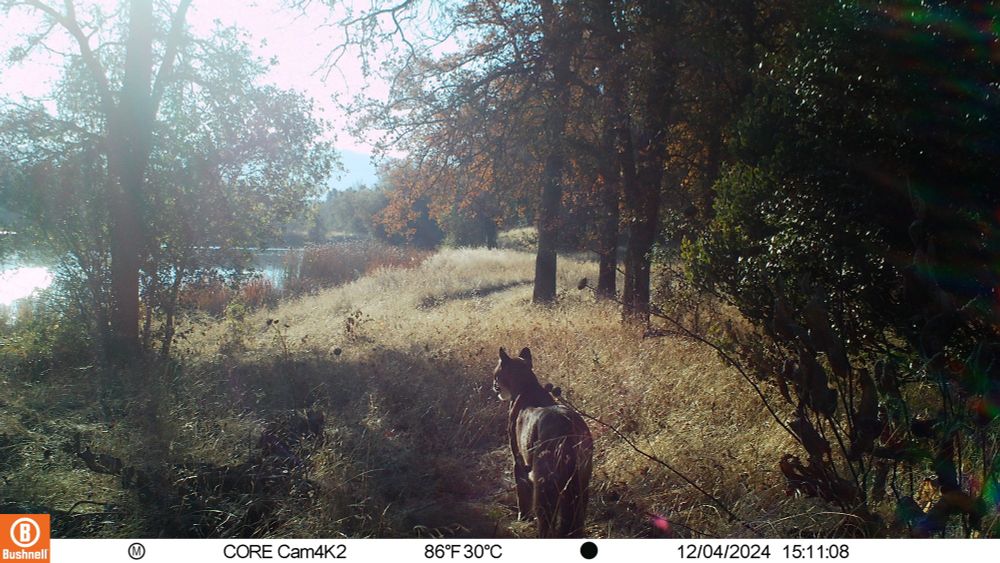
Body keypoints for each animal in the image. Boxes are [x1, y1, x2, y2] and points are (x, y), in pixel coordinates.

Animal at [493, 347, 593, 538]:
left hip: (544, 481)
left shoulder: (518, 459)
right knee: (576, 517)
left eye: (496, 373)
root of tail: (567, 424)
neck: (525, 385)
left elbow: (521, 493)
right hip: (582, 480)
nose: (493, 385)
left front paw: (523, 519)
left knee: (546, 518)